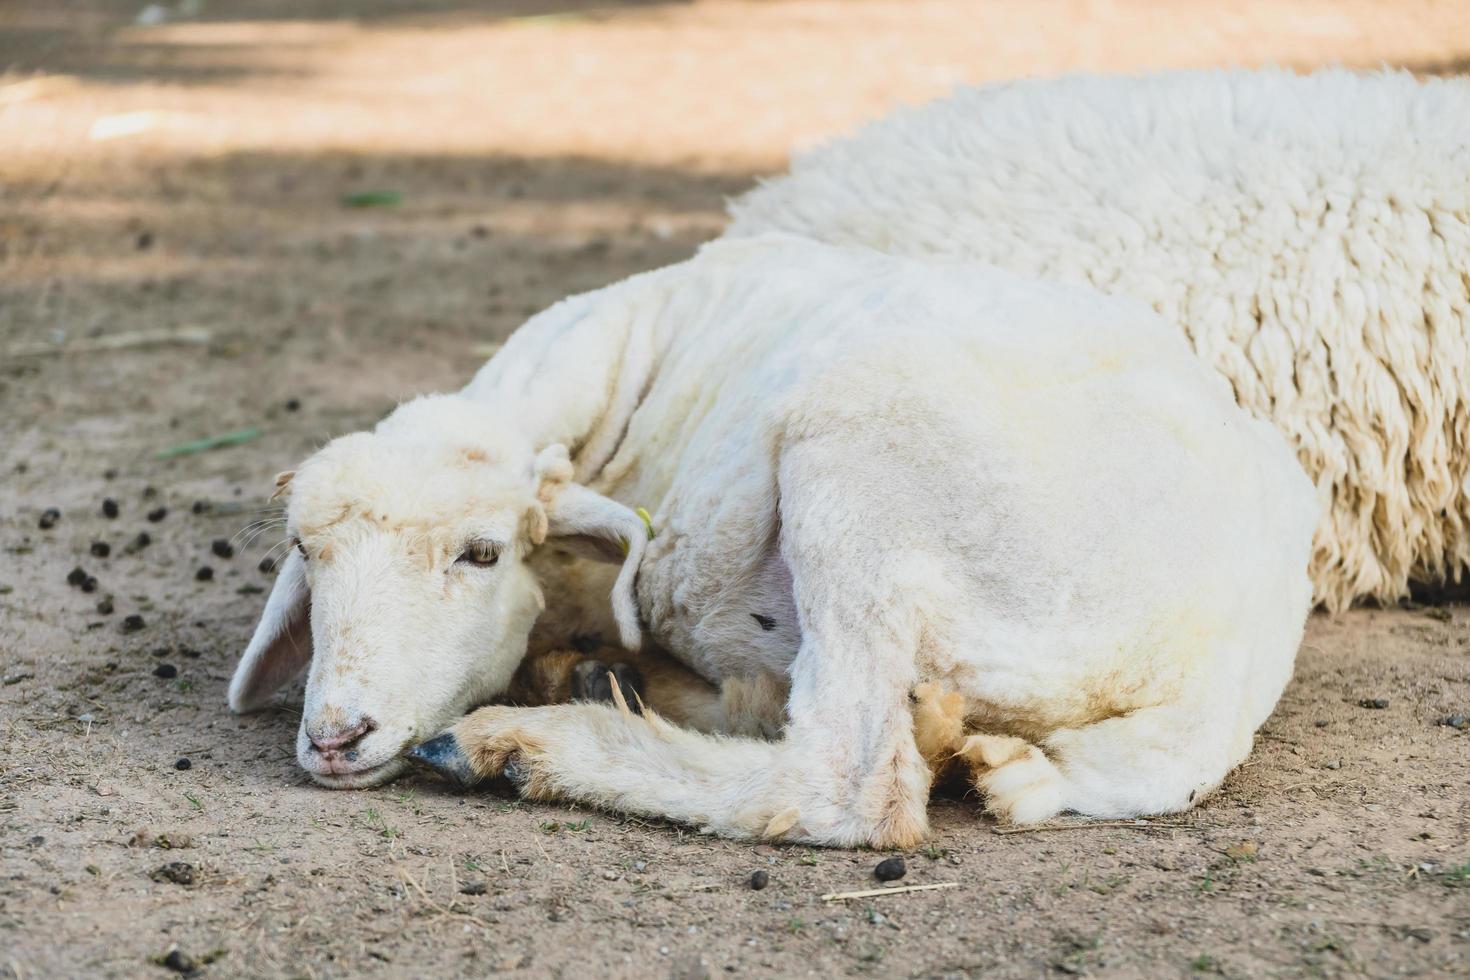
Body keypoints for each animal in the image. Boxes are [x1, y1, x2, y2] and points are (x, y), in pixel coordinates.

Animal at [232, 235, 1323, 846]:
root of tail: (1219, 665)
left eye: (482, 552)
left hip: (860, 463)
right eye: (307, 552)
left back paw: (522, 742)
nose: (335, 737)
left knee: (848, 784)